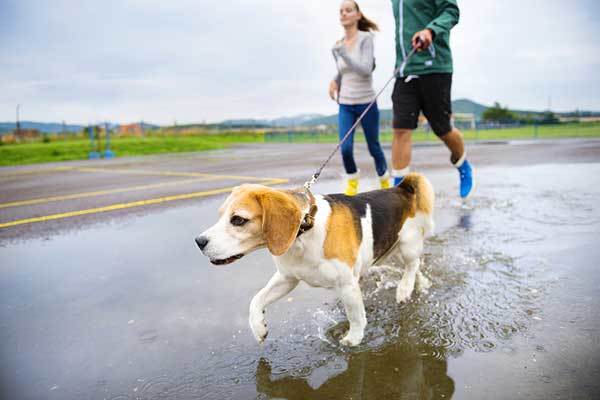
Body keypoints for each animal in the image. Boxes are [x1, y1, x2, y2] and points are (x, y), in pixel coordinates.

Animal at [195, 173, 434, 346]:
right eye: (220, 215)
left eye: (238, 220)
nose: (199, 241)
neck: (304, 230)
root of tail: (401, 188)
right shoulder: (287, 278)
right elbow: (257, 300)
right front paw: (258, 327)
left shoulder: (347, 285)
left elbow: (356, 316)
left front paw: (353, 339)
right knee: (415, 267)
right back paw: (420, 284)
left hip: (407, 245)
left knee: (412, 265)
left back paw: (404, 288)